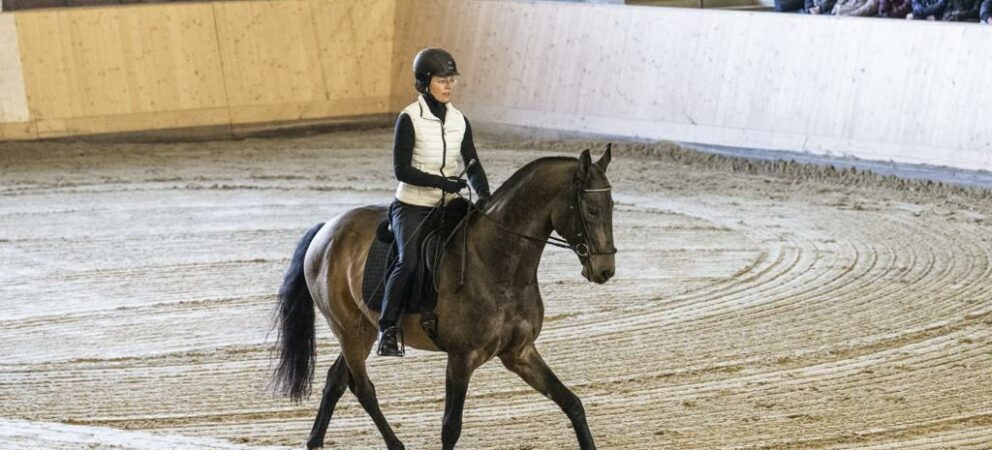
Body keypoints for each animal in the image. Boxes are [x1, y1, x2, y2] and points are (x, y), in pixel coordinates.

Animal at [272, 146, 612, 448]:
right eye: (592, 210)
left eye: (610, 207)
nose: (605, 269)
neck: (498, 263)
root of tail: (326, 230)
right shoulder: (461, 358)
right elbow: (451, 428)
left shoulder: (520, 352)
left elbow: (572, 403)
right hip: (349, 331)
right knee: (363, 388)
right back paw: (395, 444)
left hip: (363, 330)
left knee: (336, 381)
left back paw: (315, 442)